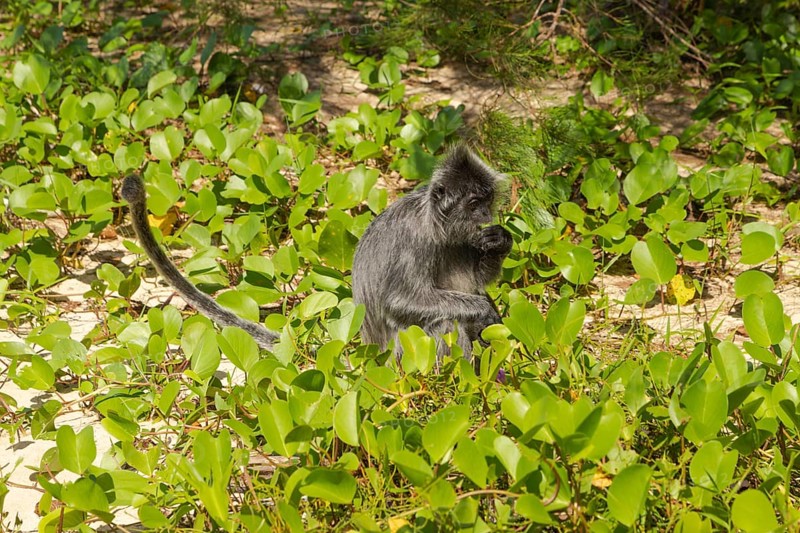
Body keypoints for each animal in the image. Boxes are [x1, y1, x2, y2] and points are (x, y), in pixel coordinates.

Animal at [351, 144, 513, 360]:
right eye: (473, 204)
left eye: (488, 200)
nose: (486, 213)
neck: (431, 219)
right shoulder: (414, 238)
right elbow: (397, 302)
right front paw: (484, 310)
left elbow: (477, 280)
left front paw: (500, 241)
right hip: (405, 355)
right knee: (445, 324)